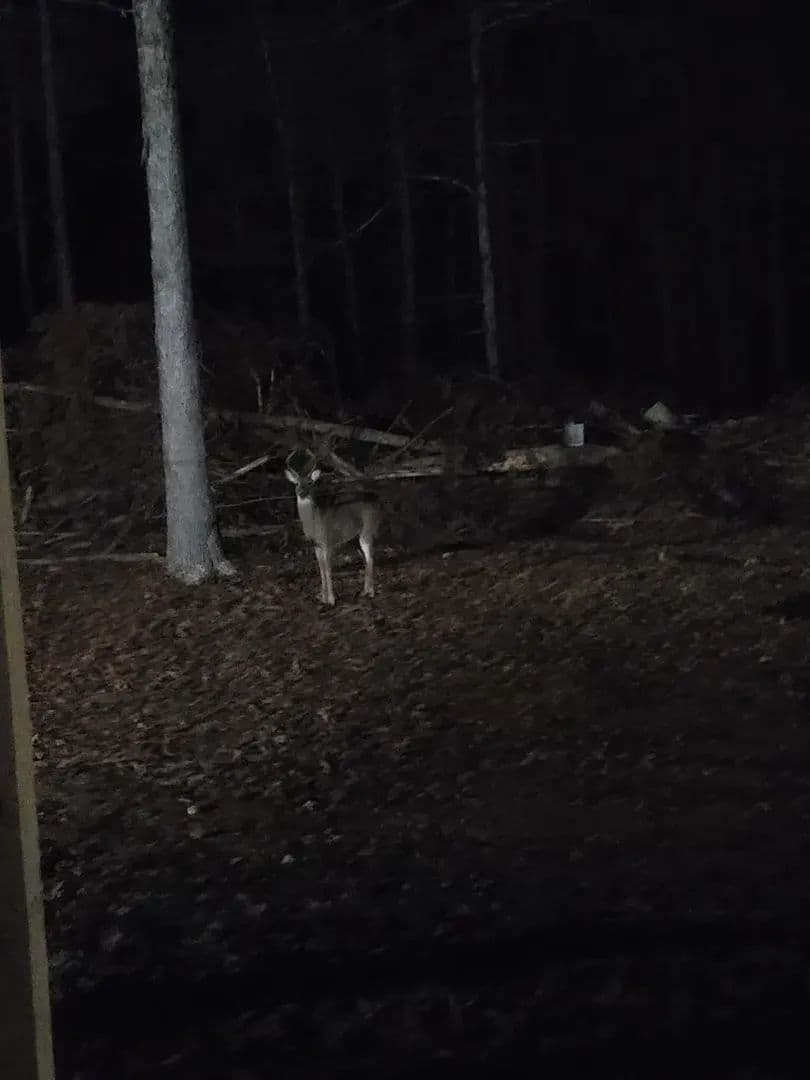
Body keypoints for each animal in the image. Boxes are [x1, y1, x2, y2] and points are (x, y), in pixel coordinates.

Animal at [284, 448, 381, 606]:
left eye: (310, 483)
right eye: (296, 483)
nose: (301, 492)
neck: (315, 522)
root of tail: (378, 503)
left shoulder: (328, 541)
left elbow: (328, 569)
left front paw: (331, 600)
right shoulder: (316, 545)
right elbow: (321, 569)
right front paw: (323, 598)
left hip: (368, 528)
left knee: (370, 556)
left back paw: (370, 592)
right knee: (366, 558)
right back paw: (365, 591)